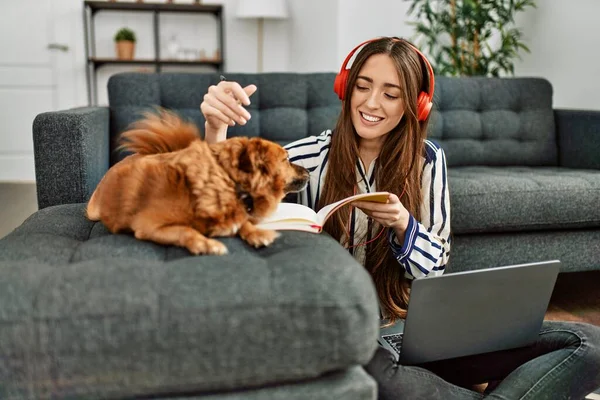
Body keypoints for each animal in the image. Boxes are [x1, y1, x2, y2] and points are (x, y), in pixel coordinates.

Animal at [85, 108, 310, 253]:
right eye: (287, 159)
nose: (308, 170)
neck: (224, 182)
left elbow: (243, 222)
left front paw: (256, 232)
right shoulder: (150, 226)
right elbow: (186, 230)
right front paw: (205, 244)